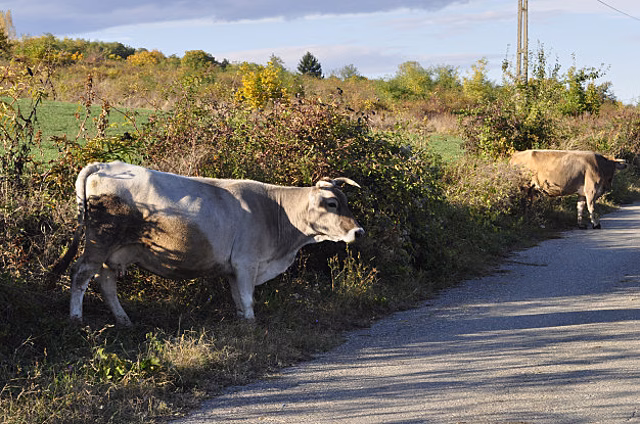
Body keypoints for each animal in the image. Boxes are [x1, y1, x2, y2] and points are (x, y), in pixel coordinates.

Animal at [53, 161, 365, 326]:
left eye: (347, 201)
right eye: (332, 203)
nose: (359, 231)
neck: (274, 211)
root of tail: (105, 165)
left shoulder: (234, 269)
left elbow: (238, 297)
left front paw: (242, 321)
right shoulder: (246, 263)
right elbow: (248, 297)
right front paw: (251, 325)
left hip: (114, 251)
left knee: (106, 282)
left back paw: (123, 320)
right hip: (99, 242)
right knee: (81, 275)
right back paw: (76, 319)